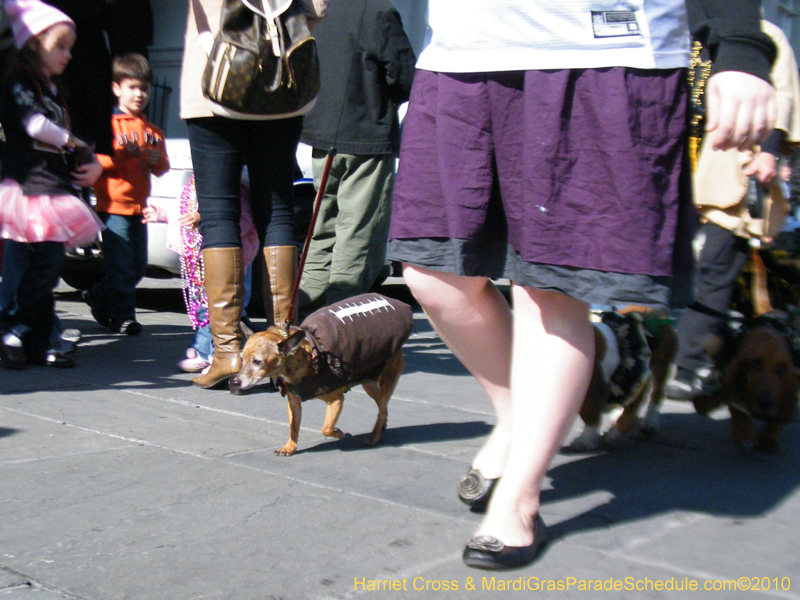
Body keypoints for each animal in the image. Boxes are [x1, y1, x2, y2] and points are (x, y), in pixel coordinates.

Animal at [230, 294, 412, 454]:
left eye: (257, 362)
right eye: (242, 359)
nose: (236, 382)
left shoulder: (336, 400)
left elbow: (326, 428)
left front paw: (338, 433)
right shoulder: (294, 402)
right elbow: (293, 427)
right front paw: (290, 447)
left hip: (387, 380)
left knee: (382, 407)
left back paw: (374, 435)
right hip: (369, 382)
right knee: (383, 406)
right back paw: (381, 428)